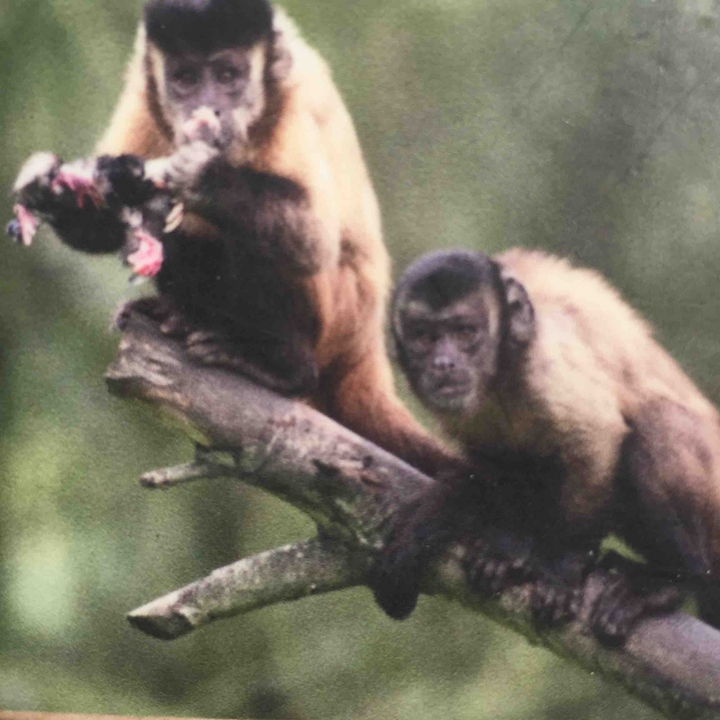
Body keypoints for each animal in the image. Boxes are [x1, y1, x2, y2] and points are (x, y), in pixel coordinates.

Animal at [8, 0, 457, 477]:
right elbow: (113, 210)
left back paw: (281, 366)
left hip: (338, 316)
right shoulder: (142, 96)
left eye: (227, 75)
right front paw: (50, 191)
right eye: (186, 78)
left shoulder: (293, 99)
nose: (209, 108)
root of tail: (364, 343)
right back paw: (178, 314)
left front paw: (198, 174)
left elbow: (314, 244)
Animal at [372, 247, 712, 637]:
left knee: (654, 427)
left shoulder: (546, 363)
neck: (503, 373)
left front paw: (564, 565)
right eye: (425, 337)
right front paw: (507, 546)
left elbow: (597, 438)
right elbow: (492, 463)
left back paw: (671, 582)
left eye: (464, 332)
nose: (443, 363)